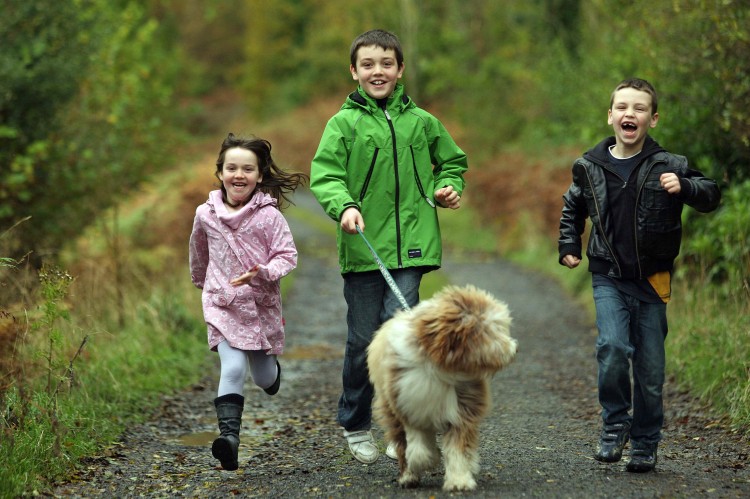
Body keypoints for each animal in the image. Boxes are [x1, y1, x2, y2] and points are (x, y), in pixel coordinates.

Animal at [368, 286, 516, 492]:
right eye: (488, 330)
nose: (514, 349)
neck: (440, 366)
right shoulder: (408, 403)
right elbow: (416, 445)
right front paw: (427, 461)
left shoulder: (462, 410)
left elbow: (457, 448)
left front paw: (459, 481)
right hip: (391, 408)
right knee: (402, 443)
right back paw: (408, 476)